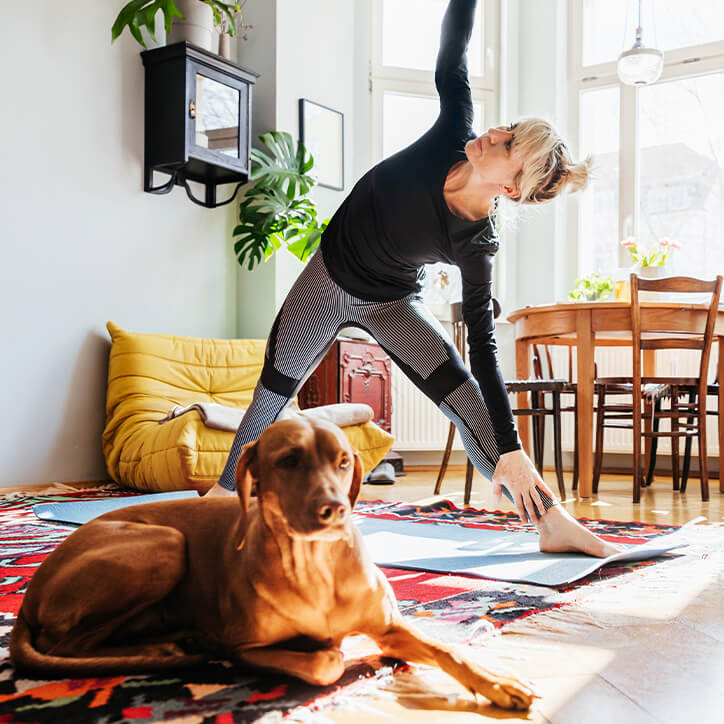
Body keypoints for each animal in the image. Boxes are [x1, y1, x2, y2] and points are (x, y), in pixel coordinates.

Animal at [9, 416, 532, 708]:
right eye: (288, 461)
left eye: (344, 461)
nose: (335, 510)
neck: (318, 566)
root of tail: (30, 596)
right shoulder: (246, 646)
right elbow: (326, 660)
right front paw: (342, 655)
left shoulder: (388, 625)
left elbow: (448, 650)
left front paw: (498, 682)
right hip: (164, 543)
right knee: (69, 643)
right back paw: (168, 648)